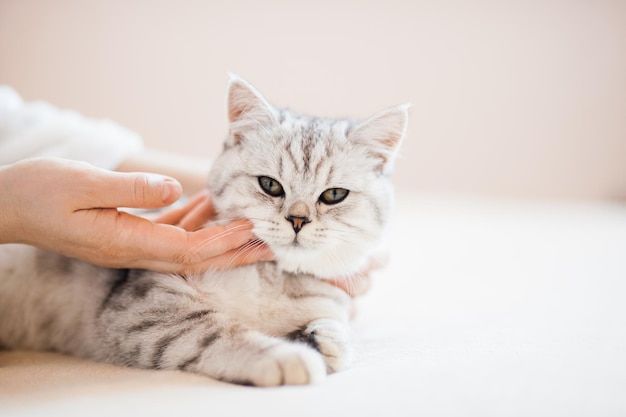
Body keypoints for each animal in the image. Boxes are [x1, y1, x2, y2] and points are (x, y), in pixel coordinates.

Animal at [0, 76, 408, 386]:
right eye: (270, 185)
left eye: (334, 195)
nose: (297, 220)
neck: (273, 280)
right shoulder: (142, 309)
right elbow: (214, 331)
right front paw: (285, 356)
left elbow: (333, 325)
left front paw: (324, 339)